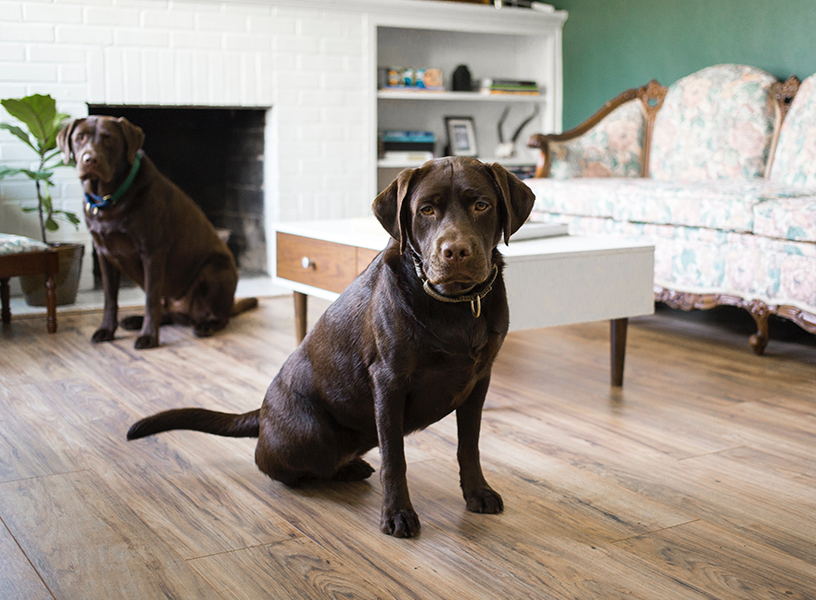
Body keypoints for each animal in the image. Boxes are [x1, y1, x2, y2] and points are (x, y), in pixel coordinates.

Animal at [57, 116, 256, 350]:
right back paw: (135, 320)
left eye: (109, 139)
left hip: (214, 270)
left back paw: (205, 326)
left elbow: (151, 300)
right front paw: (106, 330)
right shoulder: (103, 254)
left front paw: (149, 337)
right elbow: (110, 298)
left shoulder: (152, 252)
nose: (90, 159)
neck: (109, 199)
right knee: (167, 312)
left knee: (218, 318)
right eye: (80, 138)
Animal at [127, 157, 536, 536]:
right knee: (277, 464)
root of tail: (262, 413)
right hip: (312, 436)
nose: (456, 251)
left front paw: (477, 493)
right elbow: (395, 458)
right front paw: (397, 514)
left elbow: (469, 444)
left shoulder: (479, 380)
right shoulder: (389, 382)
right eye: (426, 210)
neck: (455, 305)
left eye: (481, 205)